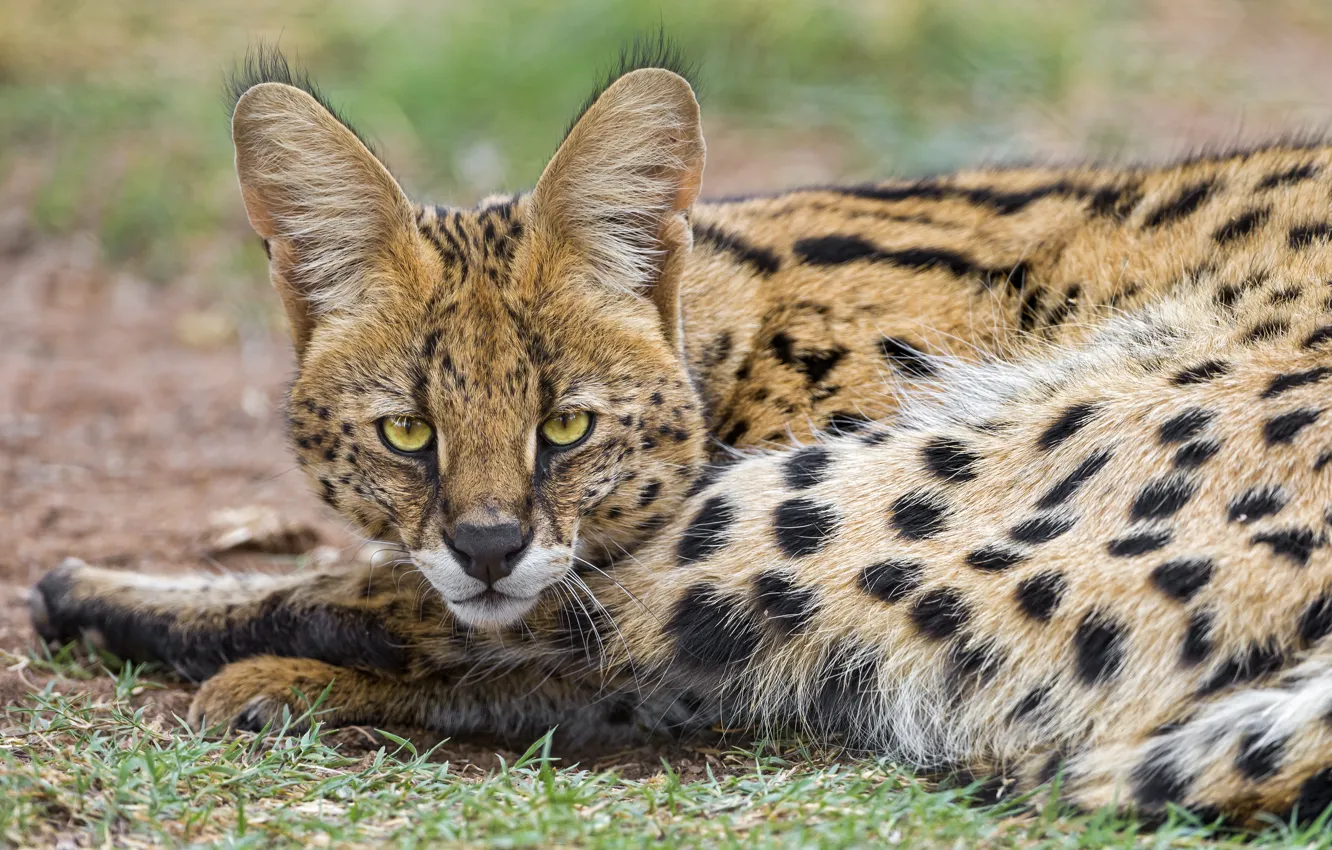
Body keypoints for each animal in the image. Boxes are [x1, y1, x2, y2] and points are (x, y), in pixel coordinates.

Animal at [28, 43, 1332, 827]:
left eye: (565, 424)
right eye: (406, 432)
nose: (489, 544)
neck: (737, 326)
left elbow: (452, 617)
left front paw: (146, 608)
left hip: (851, 500)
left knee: (521, 639)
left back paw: (188, 638)